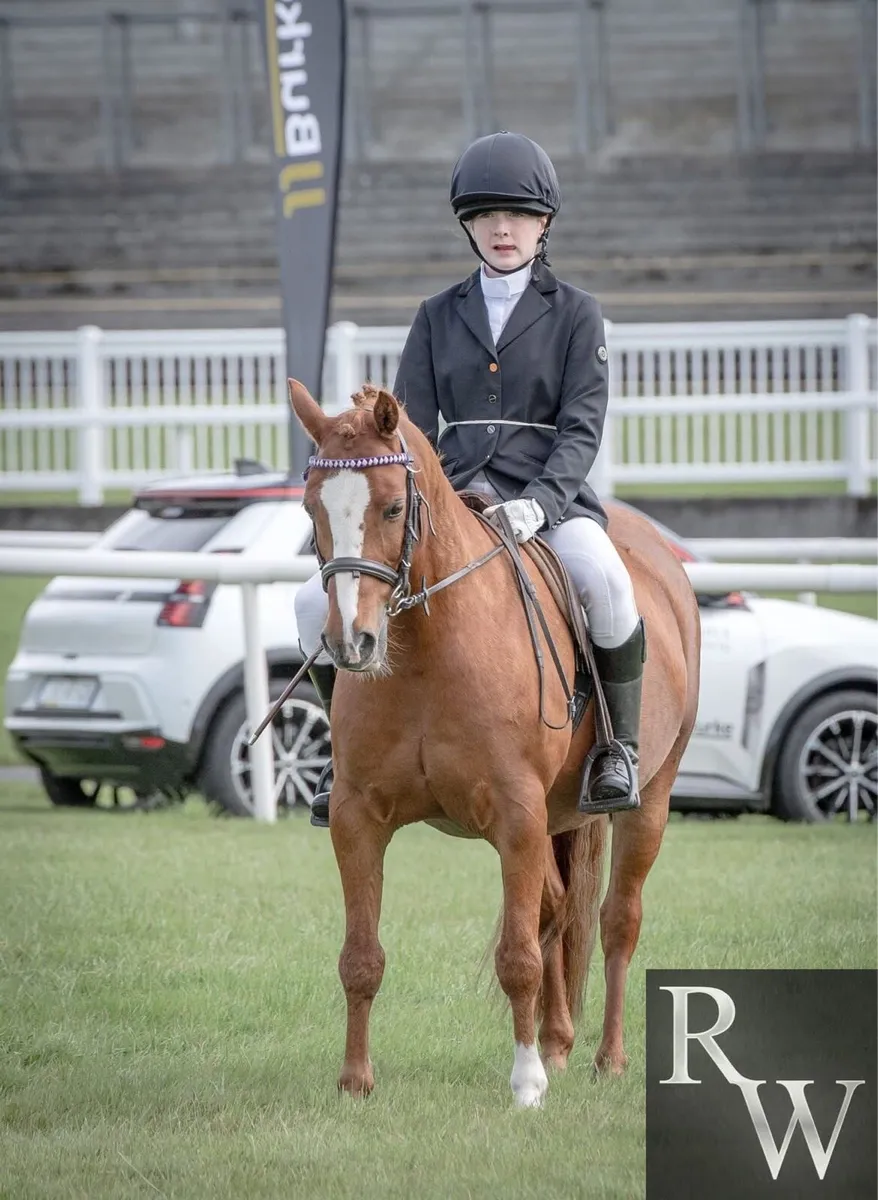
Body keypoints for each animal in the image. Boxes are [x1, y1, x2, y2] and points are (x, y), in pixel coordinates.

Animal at [288, 378, 701, 1107]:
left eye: (393, 507)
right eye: (312, 508)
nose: (352, 644)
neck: (427, 650)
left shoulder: (516, 815)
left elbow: (518, 958)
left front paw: (526, 1084)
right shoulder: (356, 816)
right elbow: (361, 957)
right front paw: (355, 1082)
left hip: (648, 797)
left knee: (616, 921)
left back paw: (607, 1058)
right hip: (551, 821)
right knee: (559, 911)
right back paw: (559, 1041)